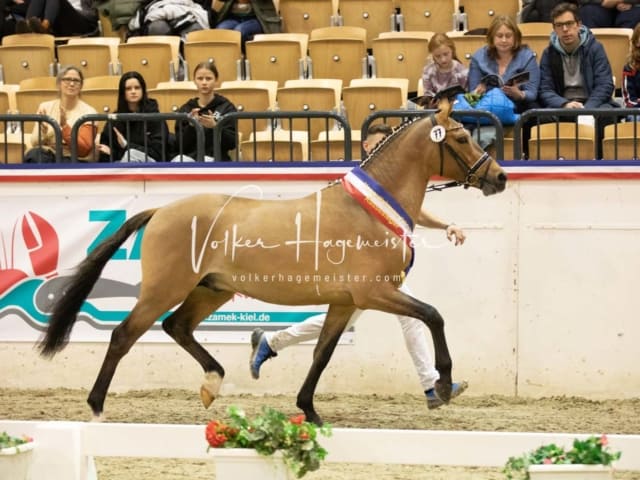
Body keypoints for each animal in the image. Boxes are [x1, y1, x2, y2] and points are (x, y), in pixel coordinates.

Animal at [38, 95, 510, 426]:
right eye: (462, 138)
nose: (500, 178)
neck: (369, 209)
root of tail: (161, 211)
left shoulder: (345, 302)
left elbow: (322, 353)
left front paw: (309, 410)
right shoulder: (373, 293)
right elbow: (433, 316)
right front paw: (445, 384)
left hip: (210, 290)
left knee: (177, 327)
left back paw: (213, 382)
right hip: (164, 289)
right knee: (124, 335)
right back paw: (97, 406)